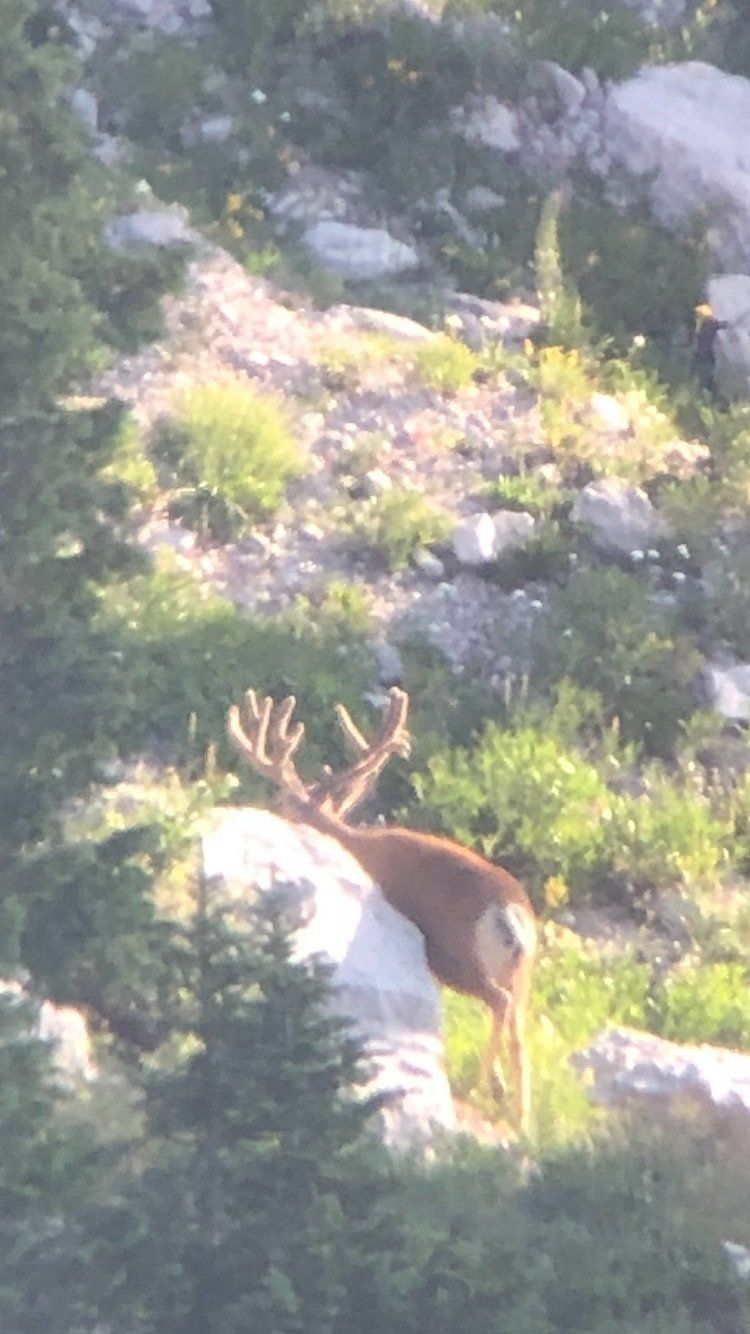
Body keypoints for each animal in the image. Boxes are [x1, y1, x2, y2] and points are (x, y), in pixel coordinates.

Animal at [227, 686, 537, 1132]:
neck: (352, 843)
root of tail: (510, 913)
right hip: (522, 973)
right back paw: (520, 1115)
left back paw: (482, 1085)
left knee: (499, 1003)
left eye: (281, 802)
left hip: (460, 957)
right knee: (520, 1036)